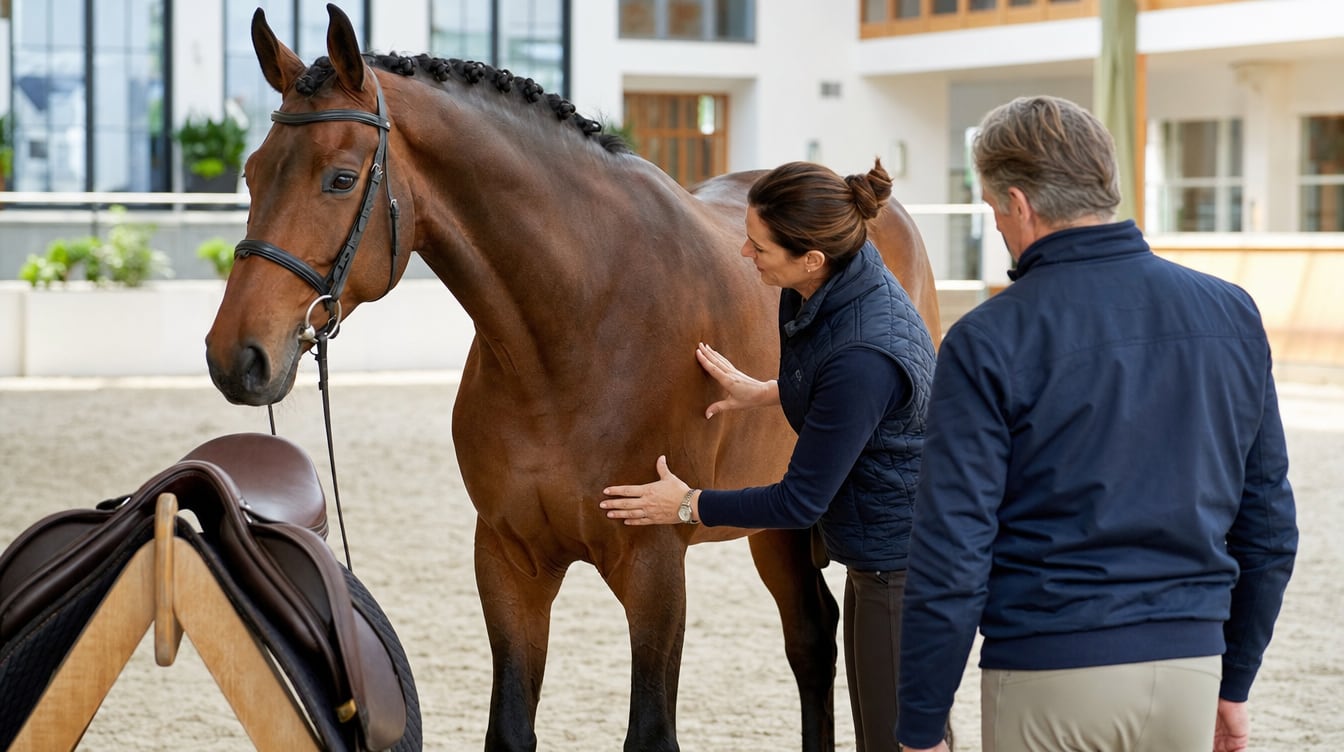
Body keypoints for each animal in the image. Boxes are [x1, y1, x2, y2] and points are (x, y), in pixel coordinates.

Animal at [205, 5, 942, 751]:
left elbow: (650, 731)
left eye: (341, 178)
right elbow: (509, 727)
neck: (576, 331)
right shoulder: (508, 560)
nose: (235, 356)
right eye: (251, 173)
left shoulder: (653, 566)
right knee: (813, 639)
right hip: (775, 518)